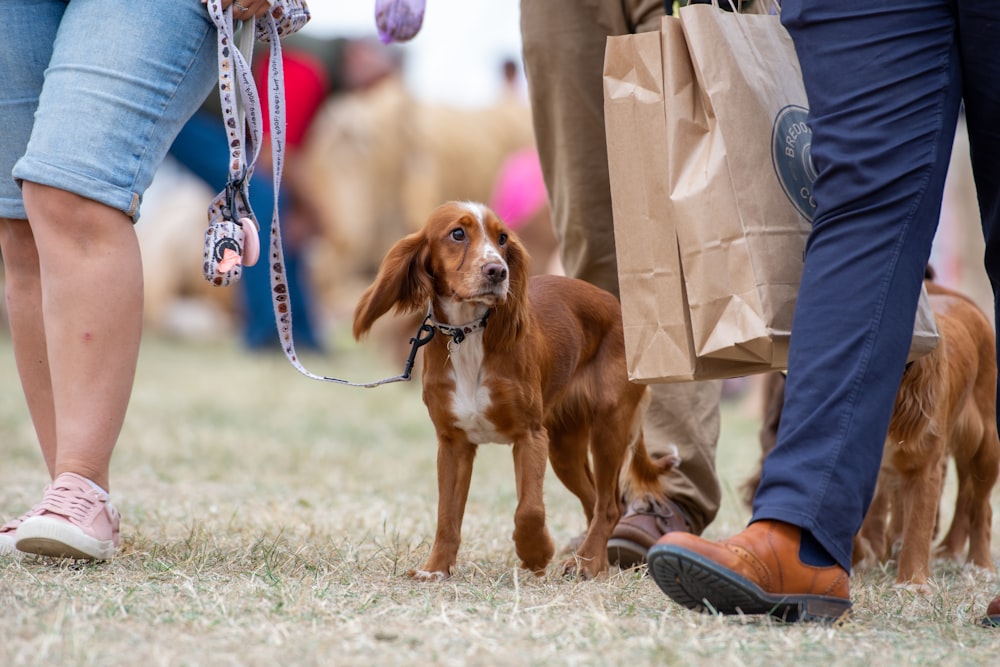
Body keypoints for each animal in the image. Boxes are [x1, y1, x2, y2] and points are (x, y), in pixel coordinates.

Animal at [352, 202, 672, 580]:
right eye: (457, 234)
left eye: (502, 238)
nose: (497, 271)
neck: (468, 333)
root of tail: (618, 308)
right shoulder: (453, 443)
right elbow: (447, 515)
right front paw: (435, 569)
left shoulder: (530, 435)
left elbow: (529, 509)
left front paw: (536, 553)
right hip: (565, 448)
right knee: (599, 501)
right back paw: (594, 560)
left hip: (609, 427)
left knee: (609, 505)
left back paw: (588, 563)